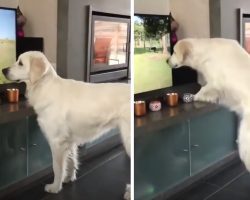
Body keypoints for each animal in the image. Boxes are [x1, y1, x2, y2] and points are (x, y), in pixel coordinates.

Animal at [1, 50, 131, 198]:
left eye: (21, 63)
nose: (3, 70)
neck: (45, 87)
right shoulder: (69, 141)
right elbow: (71, 161)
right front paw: (69, 178)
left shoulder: (57, 141)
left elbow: (57, 168)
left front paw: (55, 187)